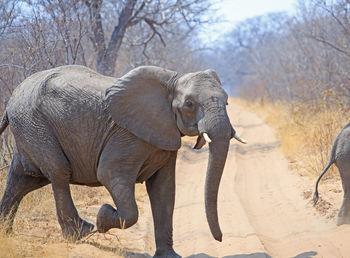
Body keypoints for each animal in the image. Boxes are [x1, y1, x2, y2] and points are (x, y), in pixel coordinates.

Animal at [0, 64, 246, 256]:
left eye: (227, 102)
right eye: (189, 104)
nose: (220, 239)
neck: (171, 80)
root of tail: (12, 98)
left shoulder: (165, 137)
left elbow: (164, 189)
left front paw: (170, 256)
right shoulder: (127, 135)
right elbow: (109, 174)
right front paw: (103, 217)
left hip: (28, 127)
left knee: (24, 180)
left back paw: (6, 233)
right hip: (34, 124)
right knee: (58, 172)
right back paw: (81, 233)